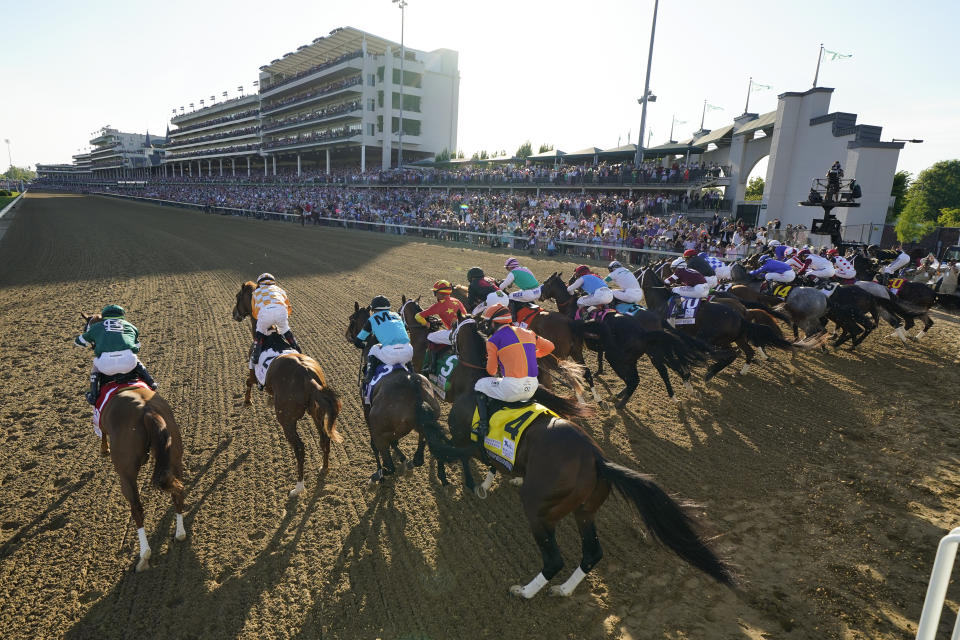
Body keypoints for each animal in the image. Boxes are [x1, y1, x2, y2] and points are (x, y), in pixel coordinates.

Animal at [79, 312, 188, 572]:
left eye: (87, 325)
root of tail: (147, 411)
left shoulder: (102, 425)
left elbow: (102, 435)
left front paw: (103, 450)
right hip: (174, 457)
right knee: (177, 490)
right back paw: (179, 533)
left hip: (126, 472)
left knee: (137, 508)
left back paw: (144, 555)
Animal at [232, 280, 344, 496]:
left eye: (237, 297)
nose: (234, 314)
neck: (269, 334)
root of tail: (309, 379)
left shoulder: (253, 372)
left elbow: (248, 382)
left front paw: (247, 402)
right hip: (317, 413)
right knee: (324, 438)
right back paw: (324, 468)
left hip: (287, 419)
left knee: (300, 448)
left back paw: (298, 486)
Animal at [344, 304, 450, 484]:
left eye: (352, 318)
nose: (347, 336)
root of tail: (415, 390)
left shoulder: (367, 410)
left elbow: (377, 445)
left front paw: (383, 468)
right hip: (428, 416)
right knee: (424, 443)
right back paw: (420, 460)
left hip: (382, 429)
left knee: (388, 459)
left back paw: (382, 472)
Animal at [422, 318, 736, 596]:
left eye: (452, 328)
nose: (438, 338)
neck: (474, 382)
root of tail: (598, 461)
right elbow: (492, 463)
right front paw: (496, 480)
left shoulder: (463, 437)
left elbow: (467, 459)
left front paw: (474, 484)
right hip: (585, 510)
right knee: (592, 553)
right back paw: (563, 590)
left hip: (539, 508)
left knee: (554, 560)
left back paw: (525, 591)